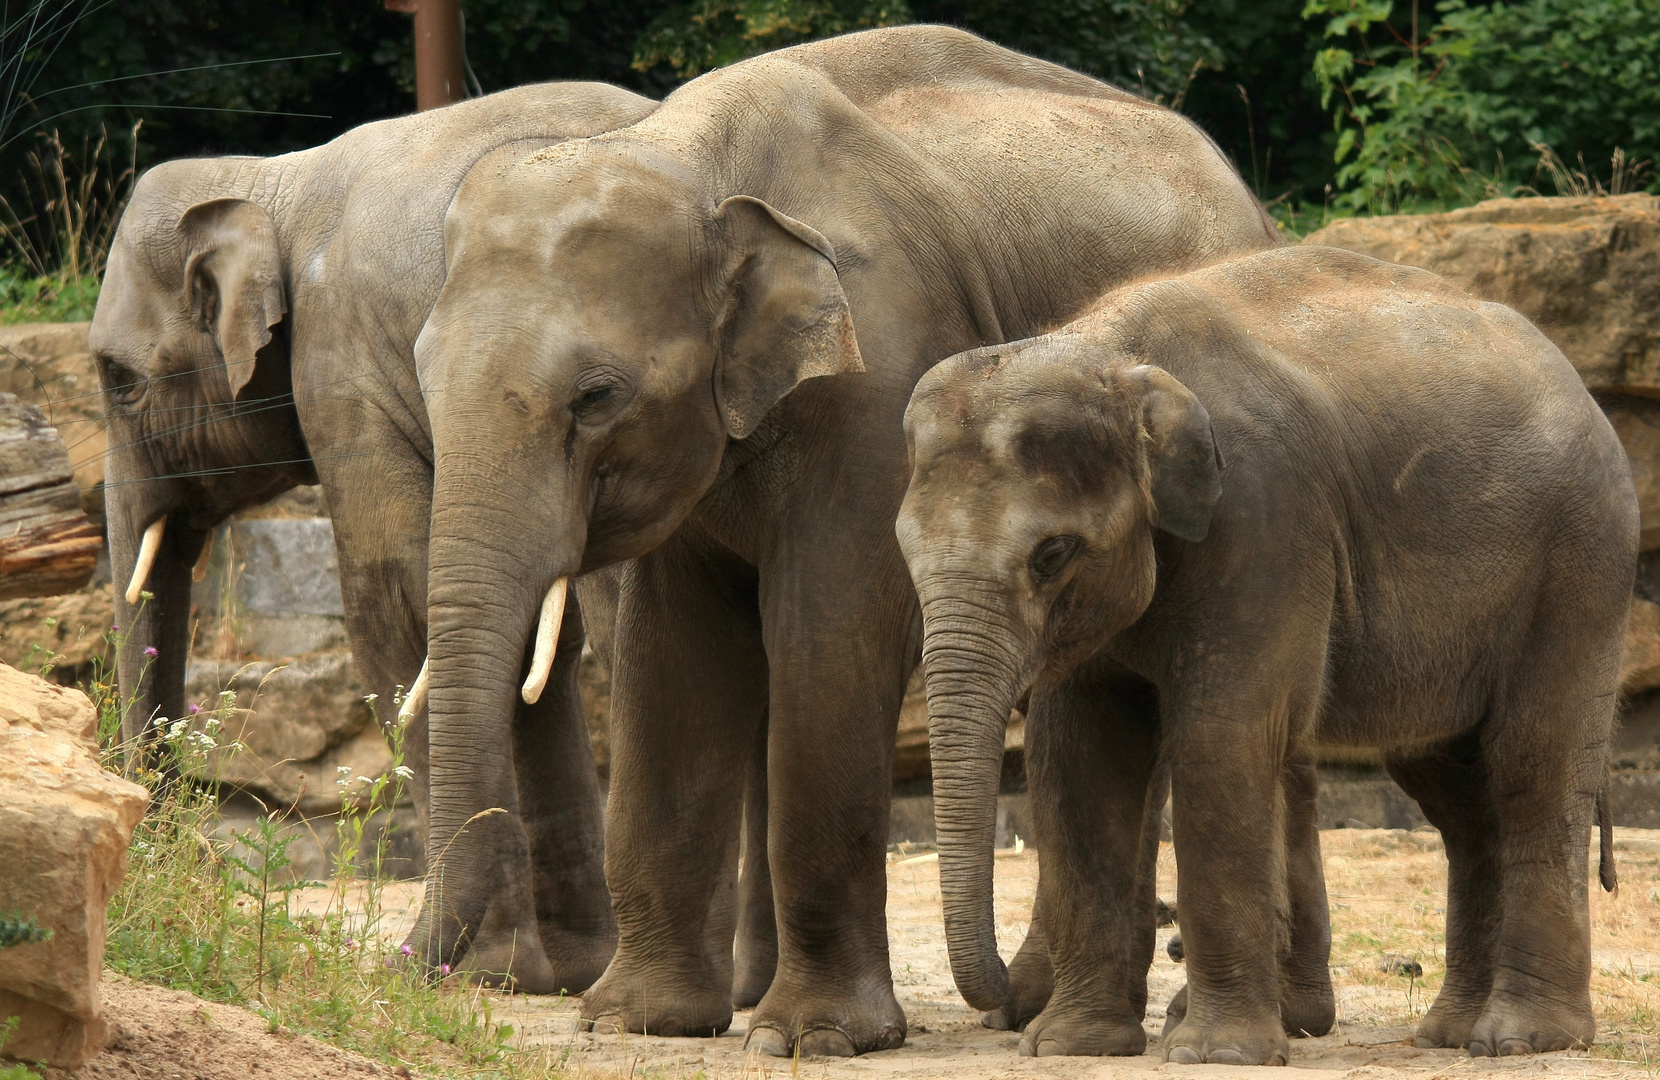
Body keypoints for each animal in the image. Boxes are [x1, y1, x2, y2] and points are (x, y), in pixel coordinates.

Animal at [85, 82, 654, 995]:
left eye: (118, 379)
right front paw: (554, 975)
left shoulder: (345, 368)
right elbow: (528, 634)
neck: (272, 180)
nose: (176, 861)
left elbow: (397, 605)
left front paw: (468, 970)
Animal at [415, 23, 1281, 1055]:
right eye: (421, 373)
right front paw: (638, 1020)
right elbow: (673, 661)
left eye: (596, 396)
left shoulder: (879, 376)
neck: (688, 152)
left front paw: (811, 1036)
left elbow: (826, 640)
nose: (426, 973)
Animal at [896, 245, 1633, 1061]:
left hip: (1580, 561)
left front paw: (1212, 1052)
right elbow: (1080, 755)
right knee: (1457, 795)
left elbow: (1222, 738)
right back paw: (1450, 1033)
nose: (1000, 1003)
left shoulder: (1266, 516)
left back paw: (1522, 1038)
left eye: (1051, 554)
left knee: (1534, 764)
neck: (1115, 356)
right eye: (903, 551)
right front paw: (1072, 1044)